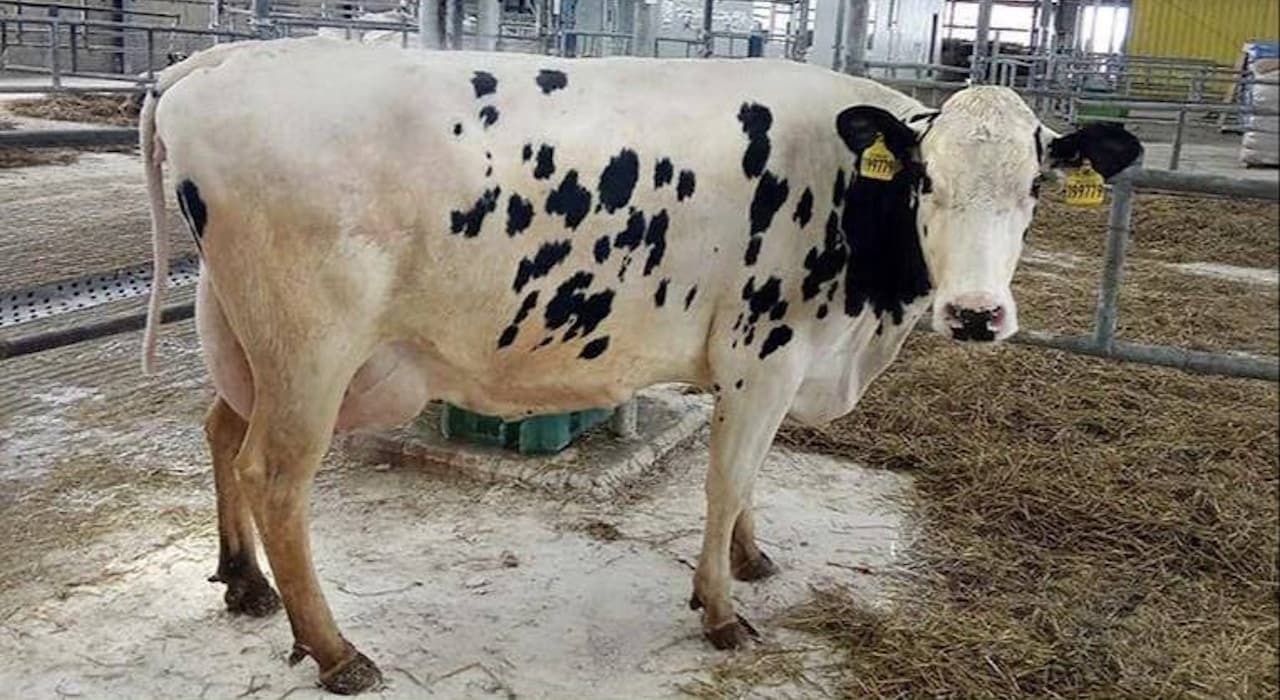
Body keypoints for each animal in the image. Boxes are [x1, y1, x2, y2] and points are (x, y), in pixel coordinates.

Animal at [139, 37, 1141, 694]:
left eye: (1037, 185)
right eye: (926, 179)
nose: (975, 313)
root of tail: (219, 62)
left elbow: (751, 479)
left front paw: (751, 556)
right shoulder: (764, 355)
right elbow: (726, 480)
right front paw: (721, 607)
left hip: (244, 340)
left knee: (220, 430)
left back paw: (242, 580)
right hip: (309, 350)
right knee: (275, 475)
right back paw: (335, 649)